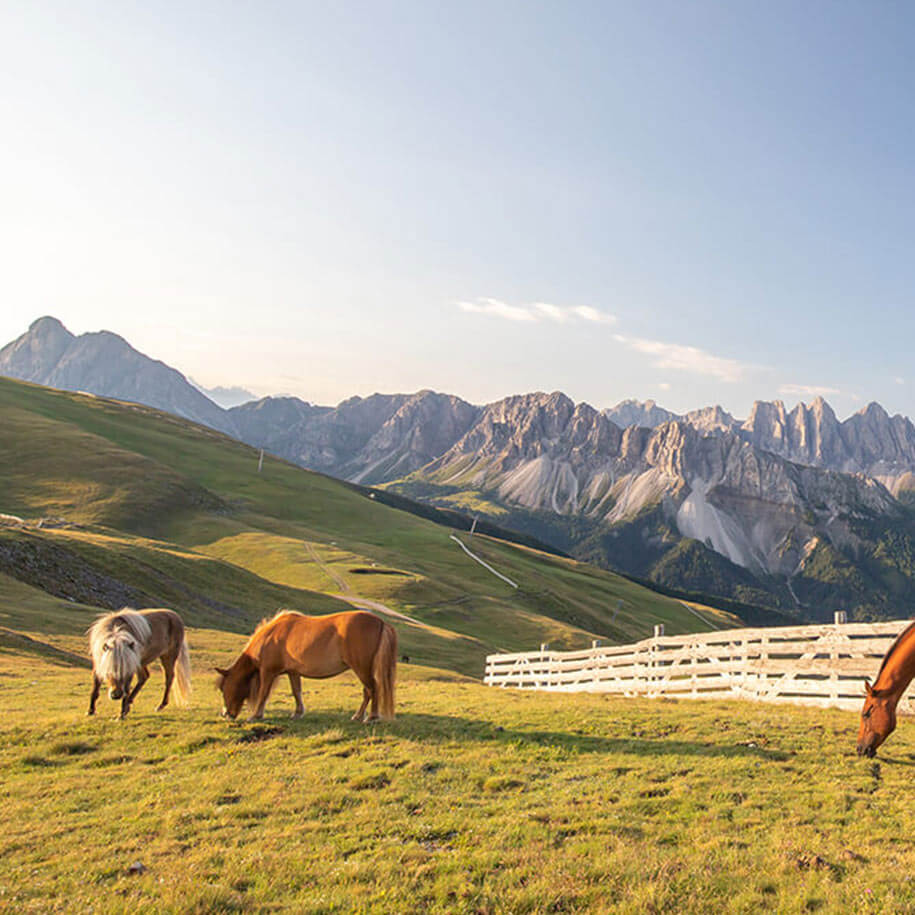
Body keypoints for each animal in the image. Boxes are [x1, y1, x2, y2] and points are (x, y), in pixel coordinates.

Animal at [218, 608, 400, 724]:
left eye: (224, 688)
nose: (226, 714)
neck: (270, 637)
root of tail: (381, 622)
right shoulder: (293, 672)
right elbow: (296, 692)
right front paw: (298, 713)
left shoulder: (267, 672)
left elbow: (263, 693)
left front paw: (256, 715)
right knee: (368, 691)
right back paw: (358, 716)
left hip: (361, 668)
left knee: (372, 689)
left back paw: (371, 717)